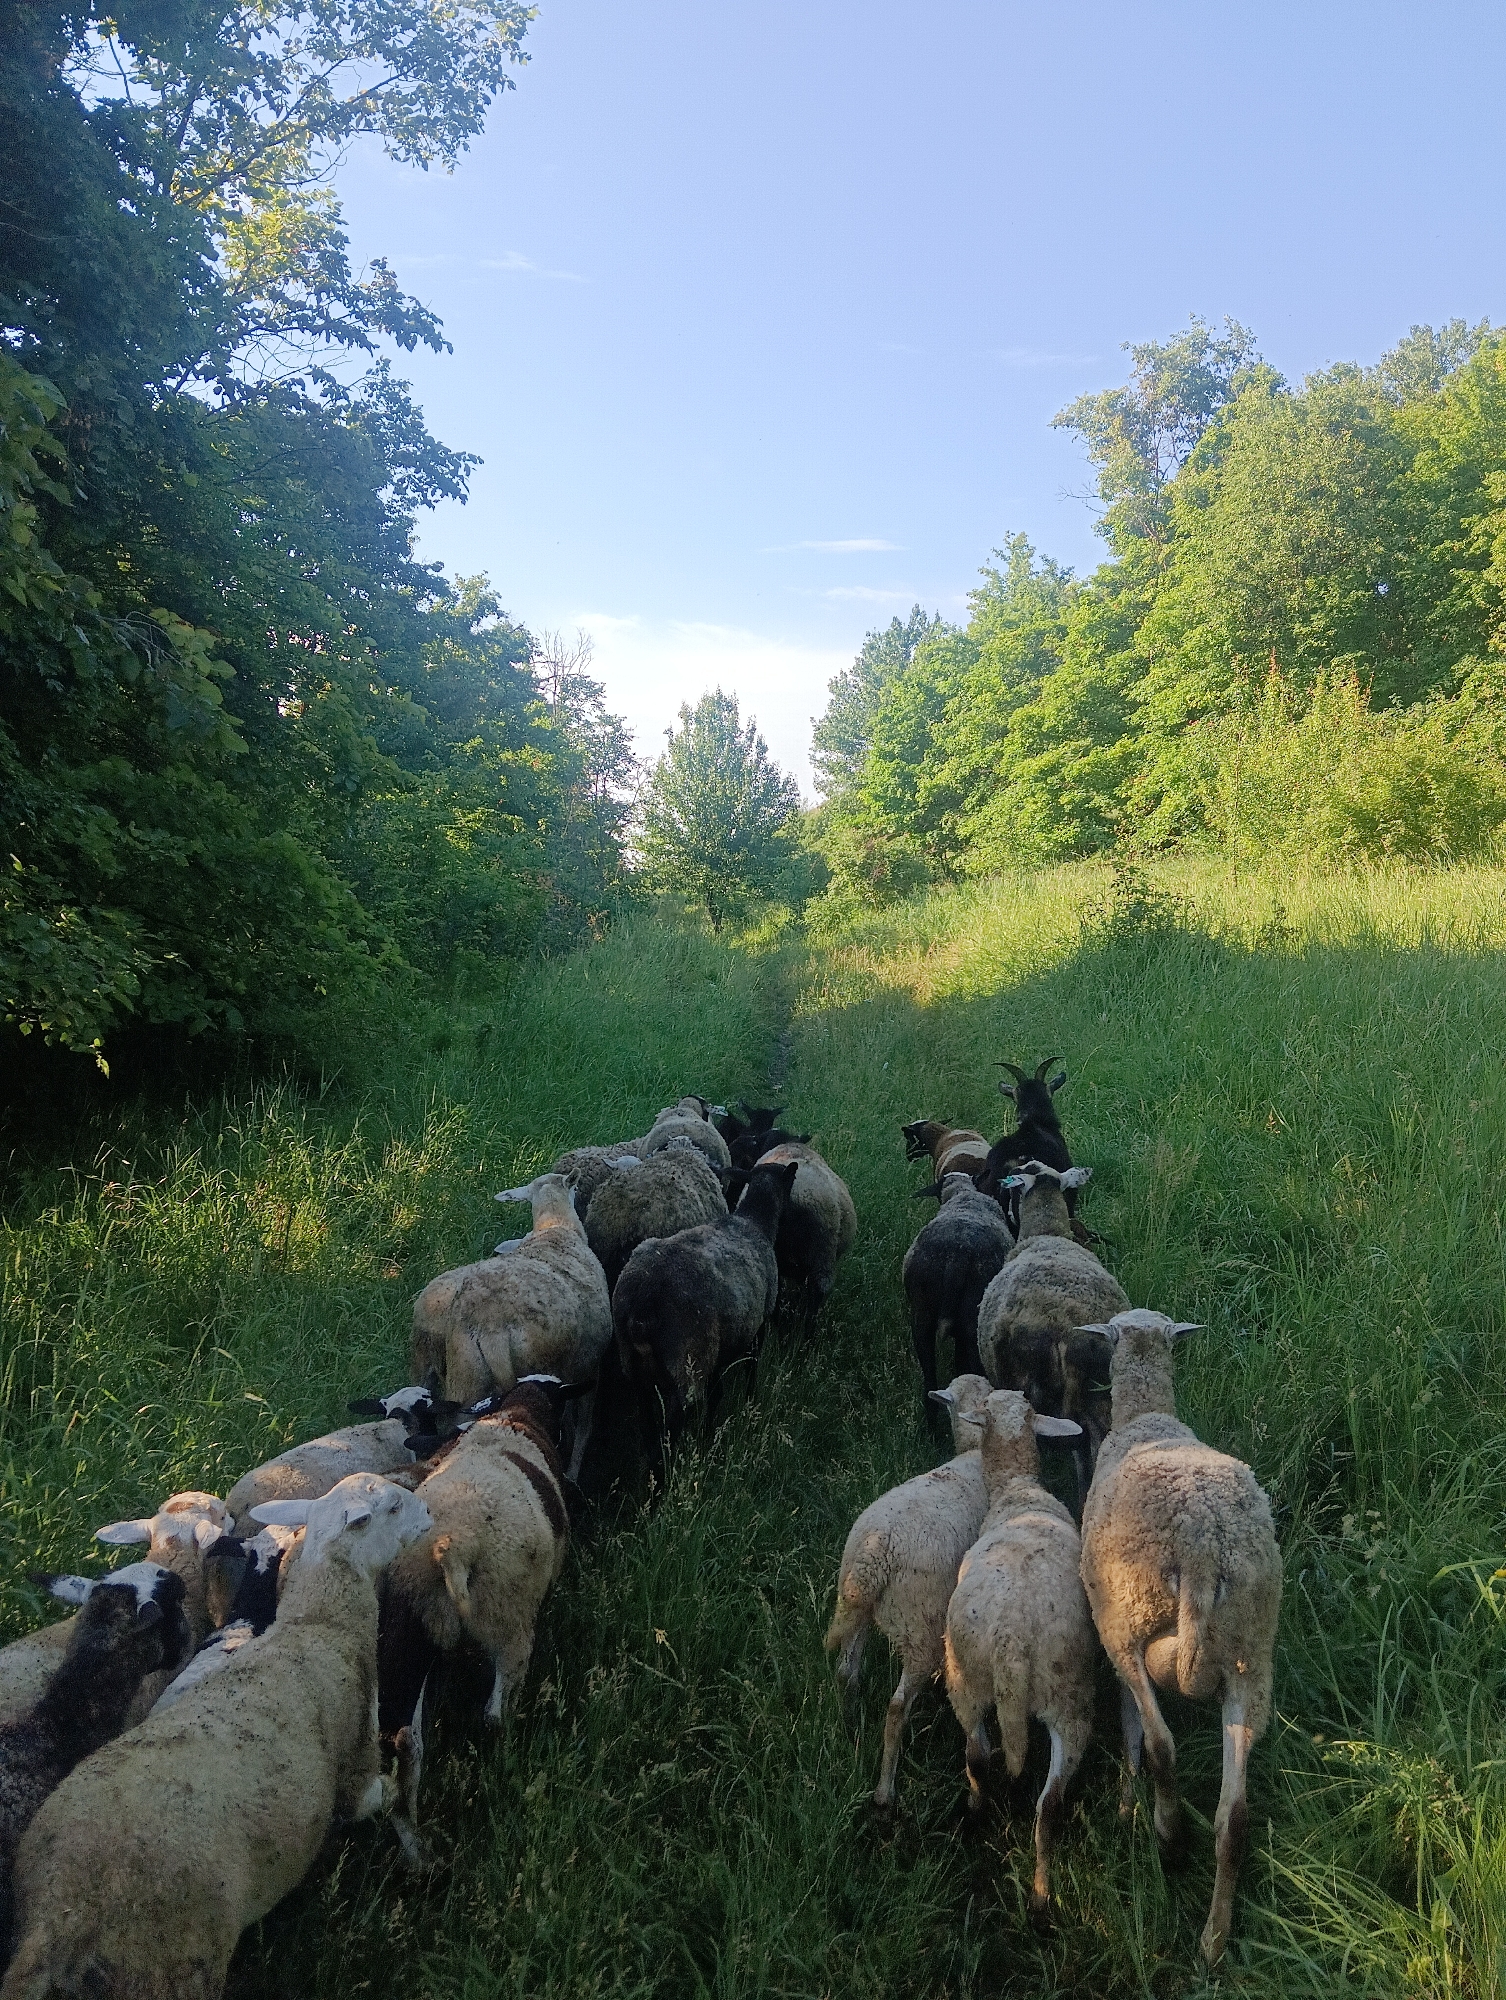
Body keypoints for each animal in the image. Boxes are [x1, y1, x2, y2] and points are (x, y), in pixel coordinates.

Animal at [612, 1158, 797, 1463]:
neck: (754, 1221)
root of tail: (643, 1300)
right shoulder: (758, 1324)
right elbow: (751, 1366)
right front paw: (750, 1400)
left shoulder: (721, 1347)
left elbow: (716, 1392)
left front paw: (711, 1429)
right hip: (687, 1365)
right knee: (670, 1431)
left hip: (635, 1370)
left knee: (648, 1426)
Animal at [823, 1373, 994, 1809]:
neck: (976, 1453)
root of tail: (876, 1553)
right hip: (921, 1628)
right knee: (897, 1705)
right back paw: (885, 1791)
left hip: (858, 1609)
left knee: (845, 1672)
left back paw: (850, 1730)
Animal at [943, 1391, 1094, 1918]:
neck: (1018, 1491)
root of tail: (1010, 1637)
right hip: (1017, 1689)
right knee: (1035, 1797)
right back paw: (1039, 1891)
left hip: (975, 1681)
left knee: (983, 1760)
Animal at [1078, 1310, 1282, 1968]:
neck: (1146, 1416)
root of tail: (1201, 1552)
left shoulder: (1111, 1628)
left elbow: (1131, 1725)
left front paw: (1125, 1795)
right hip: (1251, 1660)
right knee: (1235, 1815)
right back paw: (1214, 1938)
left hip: (1127, 1623)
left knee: (1162, 1743)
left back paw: (1169, 1840)